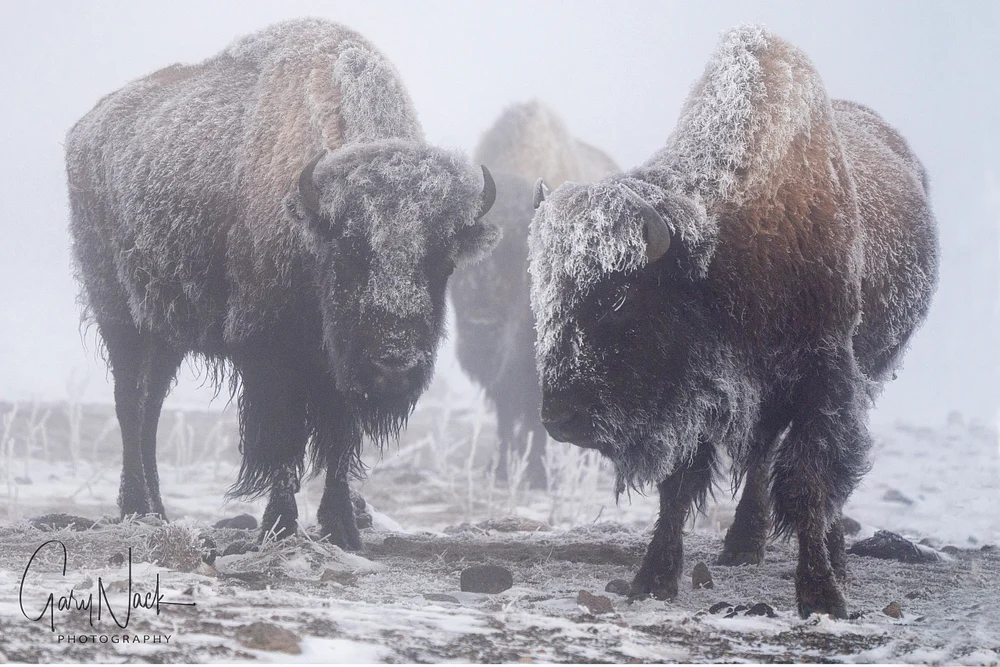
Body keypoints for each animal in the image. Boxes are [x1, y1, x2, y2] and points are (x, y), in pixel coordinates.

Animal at [66, 18, 499, 548]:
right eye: (349, 252)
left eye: (443, 261)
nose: (394, 364)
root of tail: (86, 129)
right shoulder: (271, 357)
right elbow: (283, 443)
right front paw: (278, 525)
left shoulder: (337, 369)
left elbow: (338, 445)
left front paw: (342, 530)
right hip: (120, 319)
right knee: (130, 406)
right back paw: (135, 510)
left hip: (167, 335)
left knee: (150, 413)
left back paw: (159, 513)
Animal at [529, 27, 938, 617]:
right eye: (544, 299)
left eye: (618, 297)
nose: (561, 417)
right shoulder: (698, 393)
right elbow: (679, 486)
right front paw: (651, 579)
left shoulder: (823, 374)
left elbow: (809, 484)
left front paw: (823, 596)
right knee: (763, 456)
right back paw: (743, 546)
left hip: (857, 378)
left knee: (820, 477)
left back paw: (833, 562)